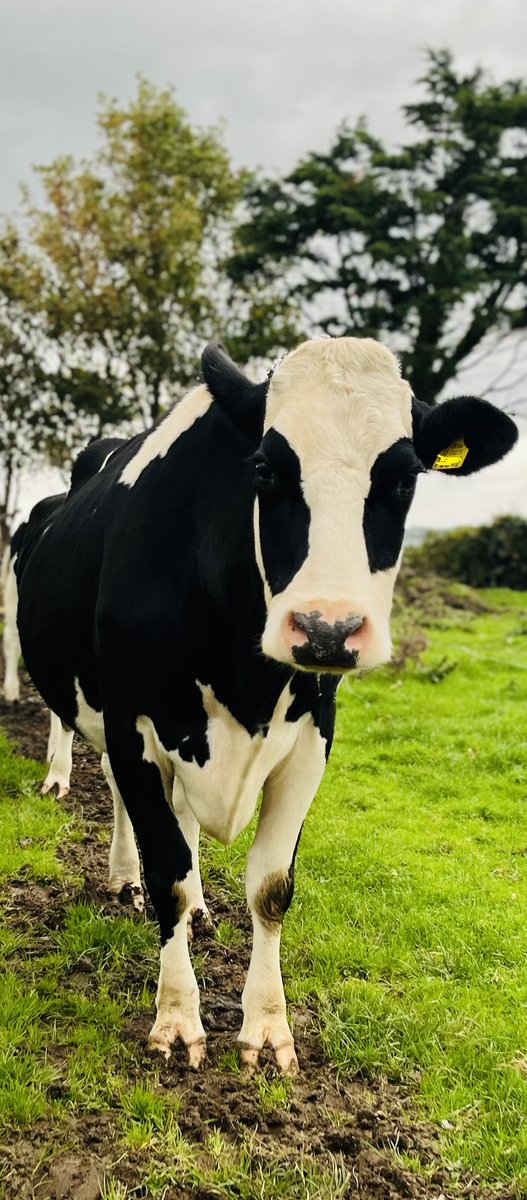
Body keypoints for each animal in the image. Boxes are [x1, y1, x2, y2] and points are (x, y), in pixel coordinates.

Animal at [14, 337, 517, 1074]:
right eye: (264, 468)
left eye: (403, 478)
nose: (328, 629)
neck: (243, 678)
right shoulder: (134, 723)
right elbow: (167, 871)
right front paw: (177, 1020)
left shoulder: (311, 739)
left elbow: (271, 886)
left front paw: (268, 1029)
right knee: (107, 778)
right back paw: (113, 861)